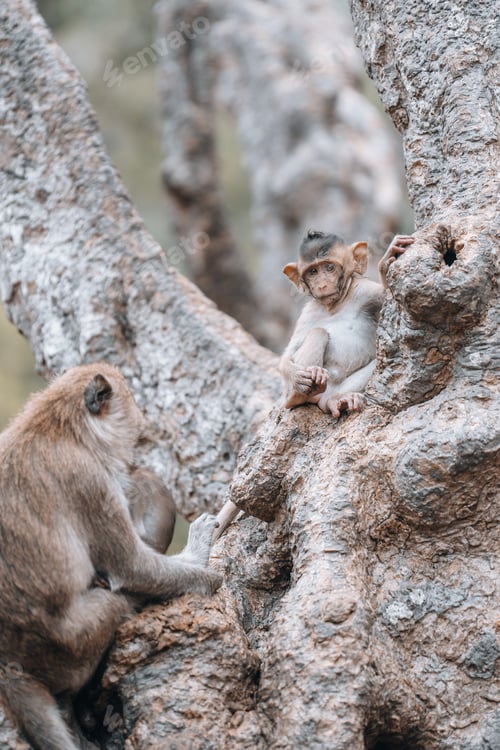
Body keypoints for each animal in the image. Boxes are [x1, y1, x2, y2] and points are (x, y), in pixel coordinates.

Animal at [0, 362, 222, 750]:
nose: (133, 462)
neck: (60, 426)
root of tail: (9, 663)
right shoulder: (90, 482)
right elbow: (131, 568)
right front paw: (202, 562)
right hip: (72, 640)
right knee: (113, 601)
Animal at [280, 230, 414, 417]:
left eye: (329, 267)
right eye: (313, 271)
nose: (322, 285)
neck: (336, 304)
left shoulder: (366, 291)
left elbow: (390, 298)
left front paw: (386, 263)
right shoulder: (308, 313)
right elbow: (289, 353)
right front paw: (295, 376)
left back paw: (336, 400)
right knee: (318, 332)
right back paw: (299, 395)